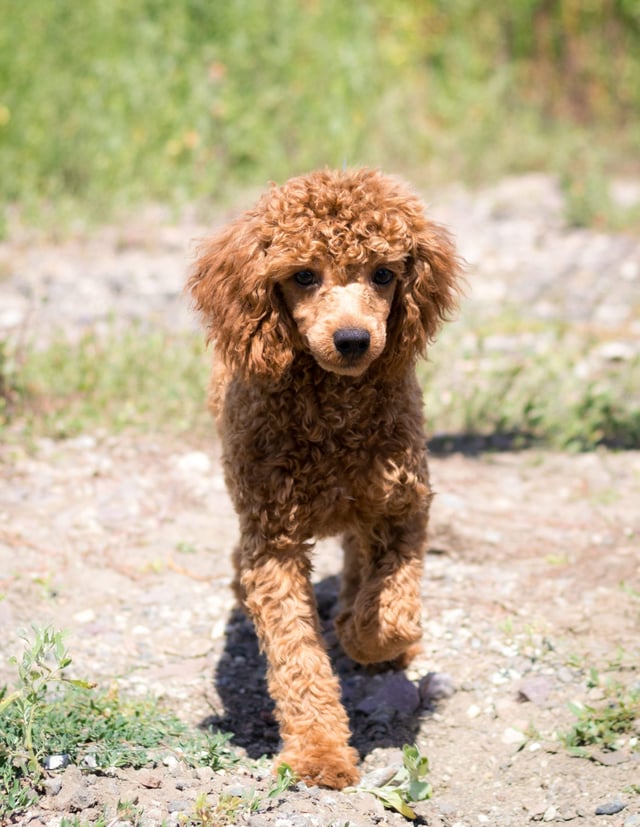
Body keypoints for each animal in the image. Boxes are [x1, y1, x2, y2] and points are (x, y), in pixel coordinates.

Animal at [188, 167, 462, 788]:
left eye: (384, 273)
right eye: (303, 276)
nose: (353, 340)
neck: (334, 413)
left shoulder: (405, 506)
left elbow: (392, 609)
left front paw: (367, 638)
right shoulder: (274, 543)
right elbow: (297, 657)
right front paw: (319, 753)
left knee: (362, 560)